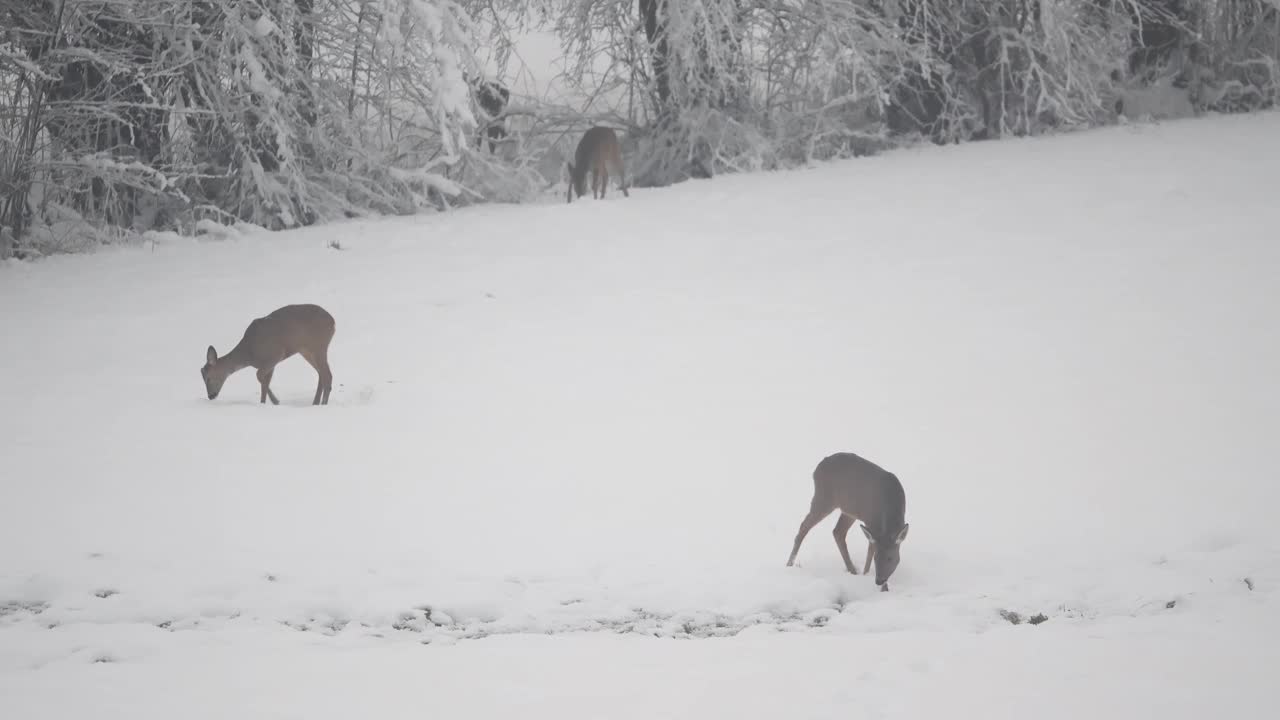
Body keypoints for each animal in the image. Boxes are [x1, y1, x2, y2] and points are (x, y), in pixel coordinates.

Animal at [199, 301, 335, 404]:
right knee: (321, 373)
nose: (211, 396)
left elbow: (259, 376)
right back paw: (315, 403)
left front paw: (275, 401)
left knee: (327, 374)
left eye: (208, 378)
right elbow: (265, 381)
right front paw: (266, 403)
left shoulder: (275, 354)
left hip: (318, 345)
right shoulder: (270, 364)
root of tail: (333, 321)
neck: (249, 354)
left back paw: (323, 403)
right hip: (306, 350)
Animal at [783, 453, 906, 589]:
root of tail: (818, 468)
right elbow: (870, 550)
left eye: (890, 558)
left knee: (837, 531)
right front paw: (868, 576)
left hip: (848, 510)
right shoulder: (871, 522)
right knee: (804, 525)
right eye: (876, 558)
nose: (879, 581)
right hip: (824, 498)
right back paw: (789, 563)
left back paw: (852, 570)